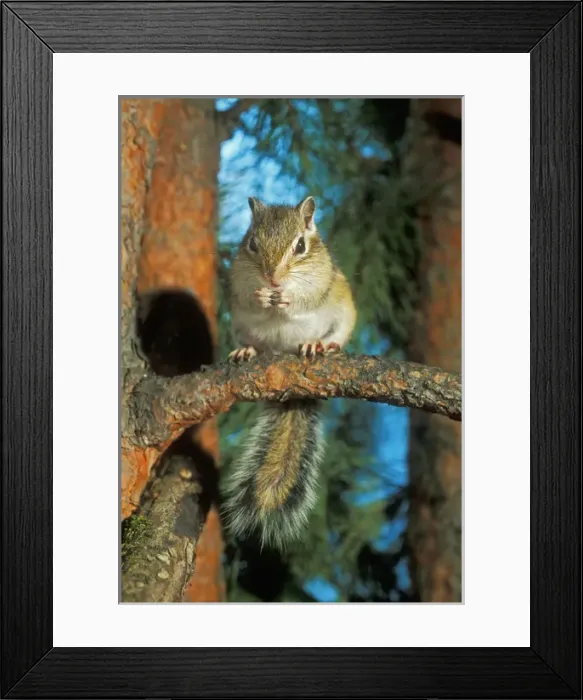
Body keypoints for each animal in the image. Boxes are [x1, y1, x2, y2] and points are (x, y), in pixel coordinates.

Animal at [222, 194, 357, 550]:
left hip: (344, 311)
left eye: (300, 246)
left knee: (333, 335)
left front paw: (286, 297)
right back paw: (247, 351)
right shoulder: (237, 285)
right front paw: (261, 296)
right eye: (252, 243)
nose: (273, 278)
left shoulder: (322, 282)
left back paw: (319, 345)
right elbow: (250, 299)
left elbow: (304, 299)